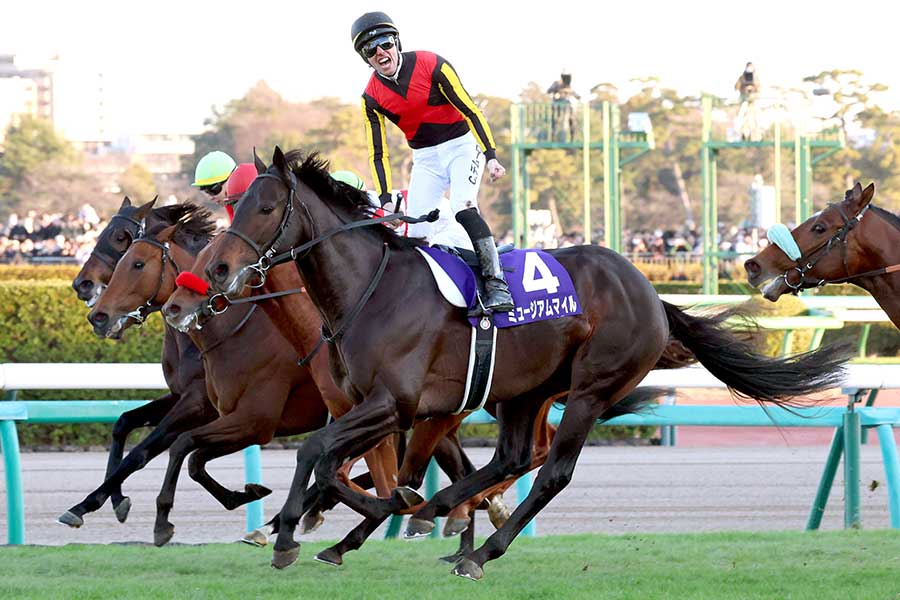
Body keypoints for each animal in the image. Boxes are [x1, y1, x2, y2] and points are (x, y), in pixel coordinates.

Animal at [204, 147, 850, 580]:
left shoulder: (396, 404)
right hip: (525, 391)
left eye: (265, 207)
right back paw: (446, 519)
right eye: (235, 205)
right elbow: (336, 465)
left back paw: (478, 549)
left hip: (590, 388)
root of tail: (646, 288)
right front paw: (322, 525)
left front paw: (291, 532)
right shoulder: (373, 407)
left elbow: (324, 456)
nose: (216, 269)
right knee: (510, 458)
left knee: (551, 471)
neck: (372, 288)